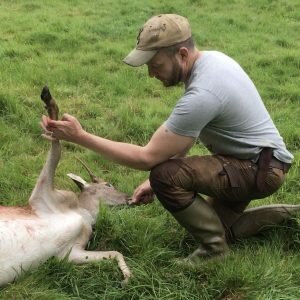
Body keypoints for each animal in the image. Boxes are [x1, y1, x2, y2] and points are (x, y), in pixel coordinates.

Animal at [0, 85, 131, 288]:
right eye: (108, 184)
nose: (129, 197)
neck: (83, 213)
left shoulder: (69, 252)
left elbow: (114, 252)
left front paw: (126, 277)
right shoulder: (42, 196)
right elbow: (56, 145)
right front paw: (48, 100)